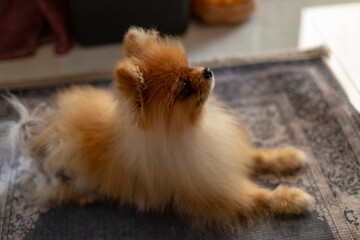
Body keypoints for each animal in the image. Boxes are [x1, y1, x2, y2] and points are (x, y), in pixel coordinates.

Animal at [2, 27, 312, 229]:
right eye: (184, 86)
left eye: (188, 65)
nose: (207, 71)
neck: (191, 130)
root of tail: (39, 135)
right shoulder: (213, 189)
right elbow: (258, 195)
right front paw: (292, 198)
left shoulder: (222, 154)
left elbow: (257, 156)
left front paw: (286, 157)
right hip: (66, 170)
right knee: (59, 192)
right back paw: (86, 196)